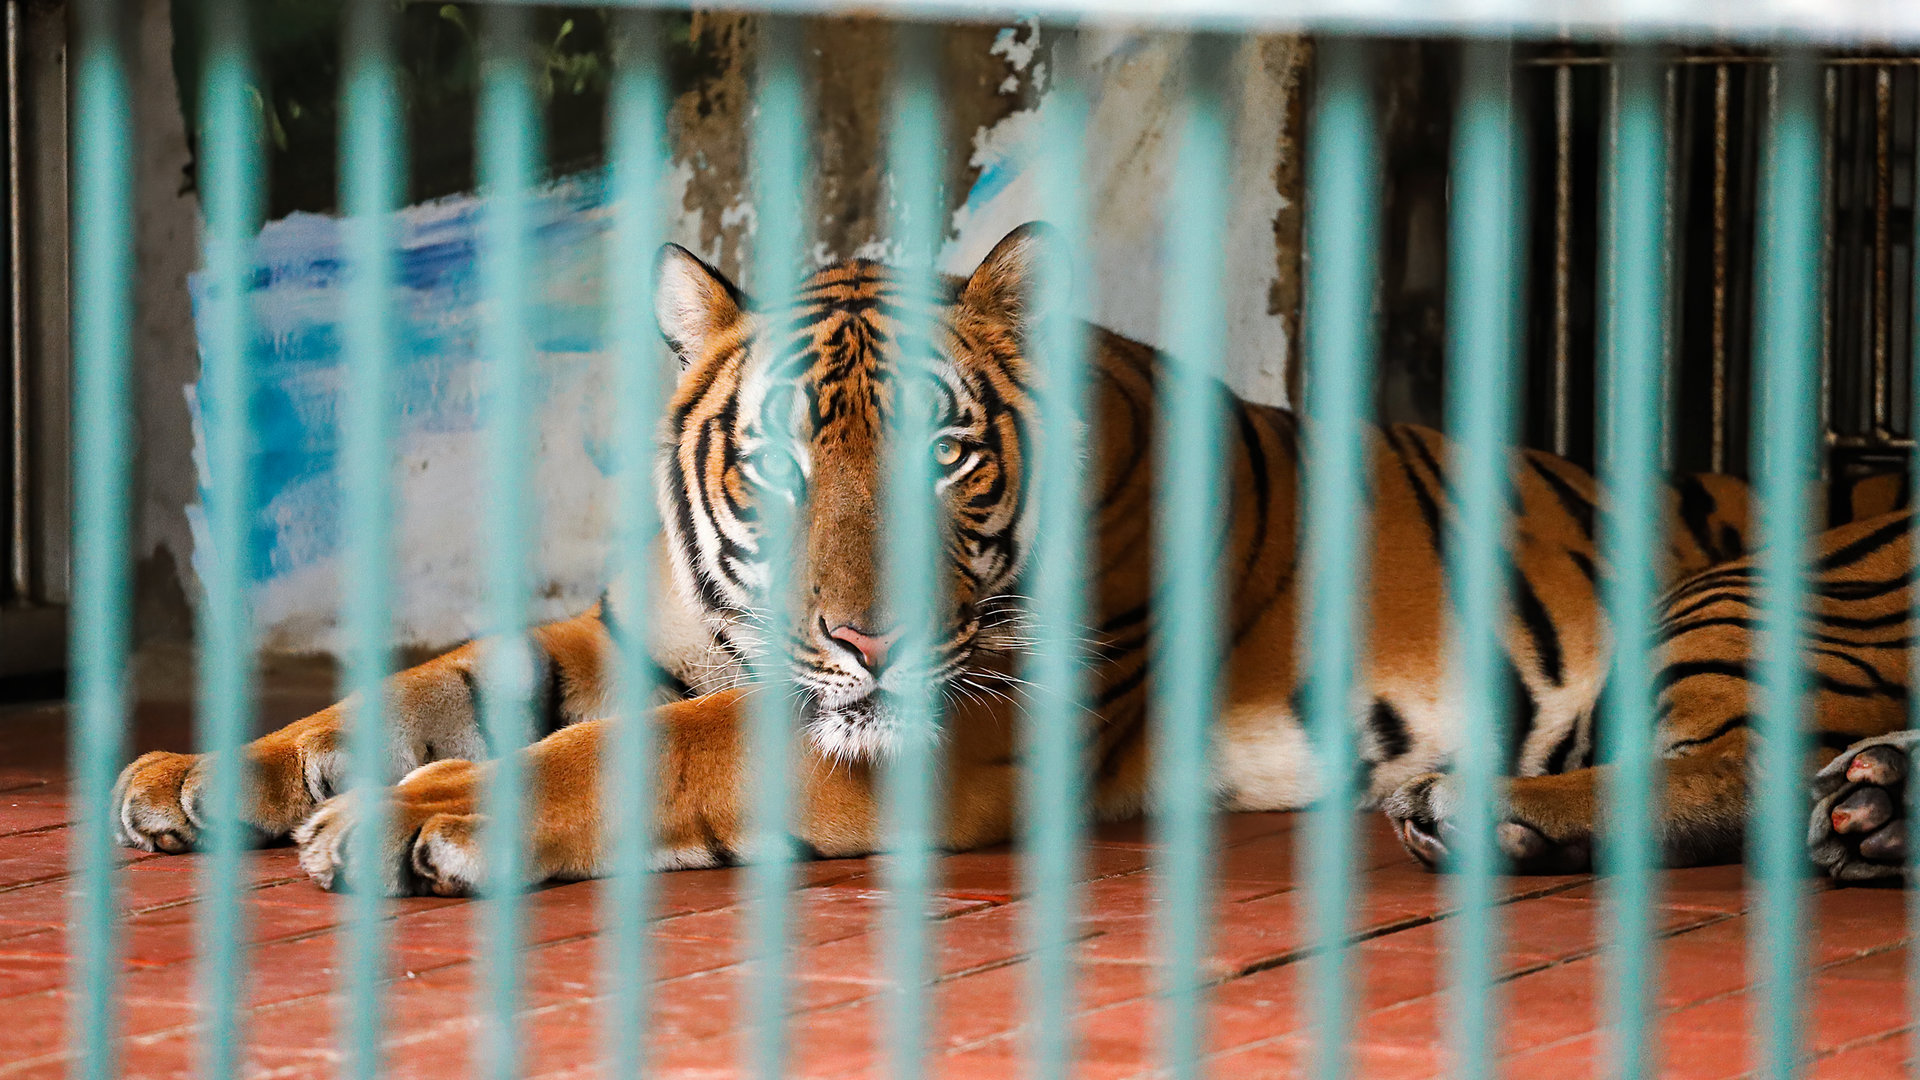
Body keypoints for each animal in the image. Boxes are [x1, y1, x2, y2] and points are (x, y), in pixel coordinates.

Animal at [109, 222, 1905, 895]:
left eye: (943, 454)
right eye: (776, 461)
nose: (864, 640)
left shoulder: (966, 728)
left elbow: (651, 749)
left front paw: (418, 820)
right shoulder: (641, 632)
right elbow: (427, 685)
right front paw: (203, 777)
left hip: (1744, 594)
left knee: (1748, 760)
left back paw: (1494, 811)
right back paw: (1865, 811)